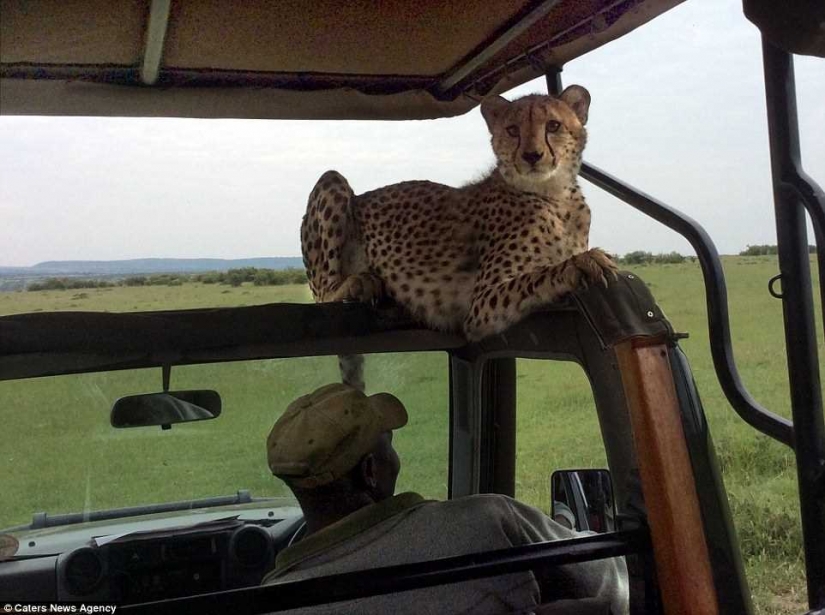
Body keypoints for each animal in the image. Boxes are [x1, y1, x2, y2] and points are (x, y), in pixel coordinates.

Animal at [300, 85, 617, 390]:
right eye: (513, 130)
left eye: (553, 125)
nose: (532, 155)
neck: (555, 196)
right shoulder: (481, 306)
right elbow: (539, 274)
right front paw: (580, 263)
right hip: (332, 183)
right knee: (324, 294)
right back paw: (358, 282)